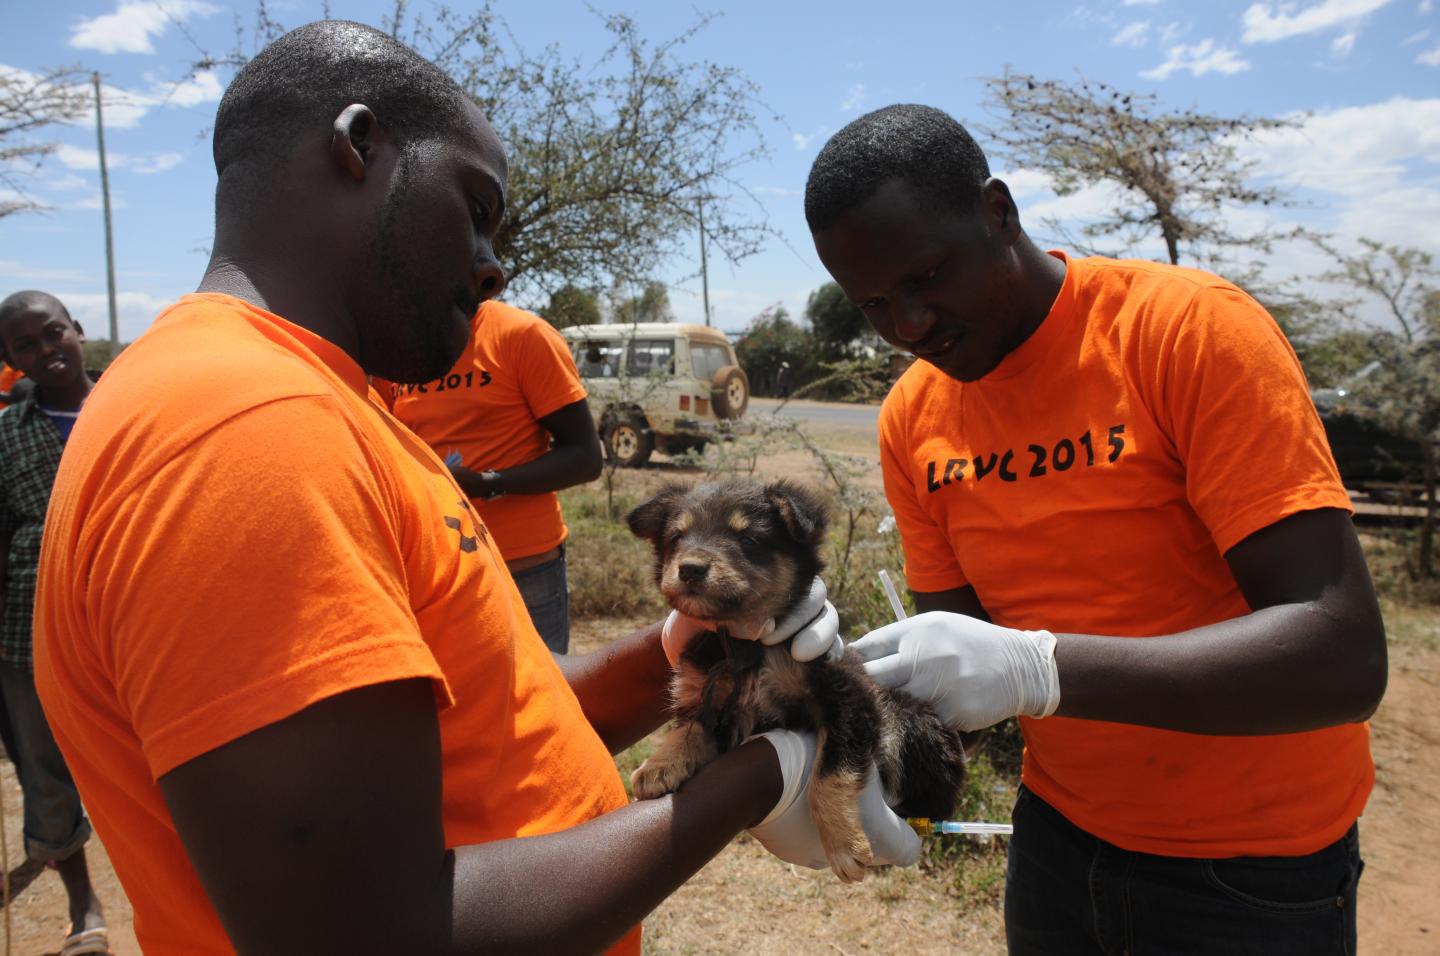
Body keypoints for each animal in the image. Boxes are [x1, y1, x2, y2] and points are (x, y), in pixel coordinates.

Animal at [622, 475, 967, 881]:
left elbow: (829, 773)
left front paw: (842, 842)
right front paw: (659, 764)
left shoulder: (851, 699)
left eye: (748, 539)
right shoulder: (711, 702)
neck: (745, 642)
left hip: (909, 720)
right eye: (677, 537)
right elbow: (686, 730)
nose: (690, 568)